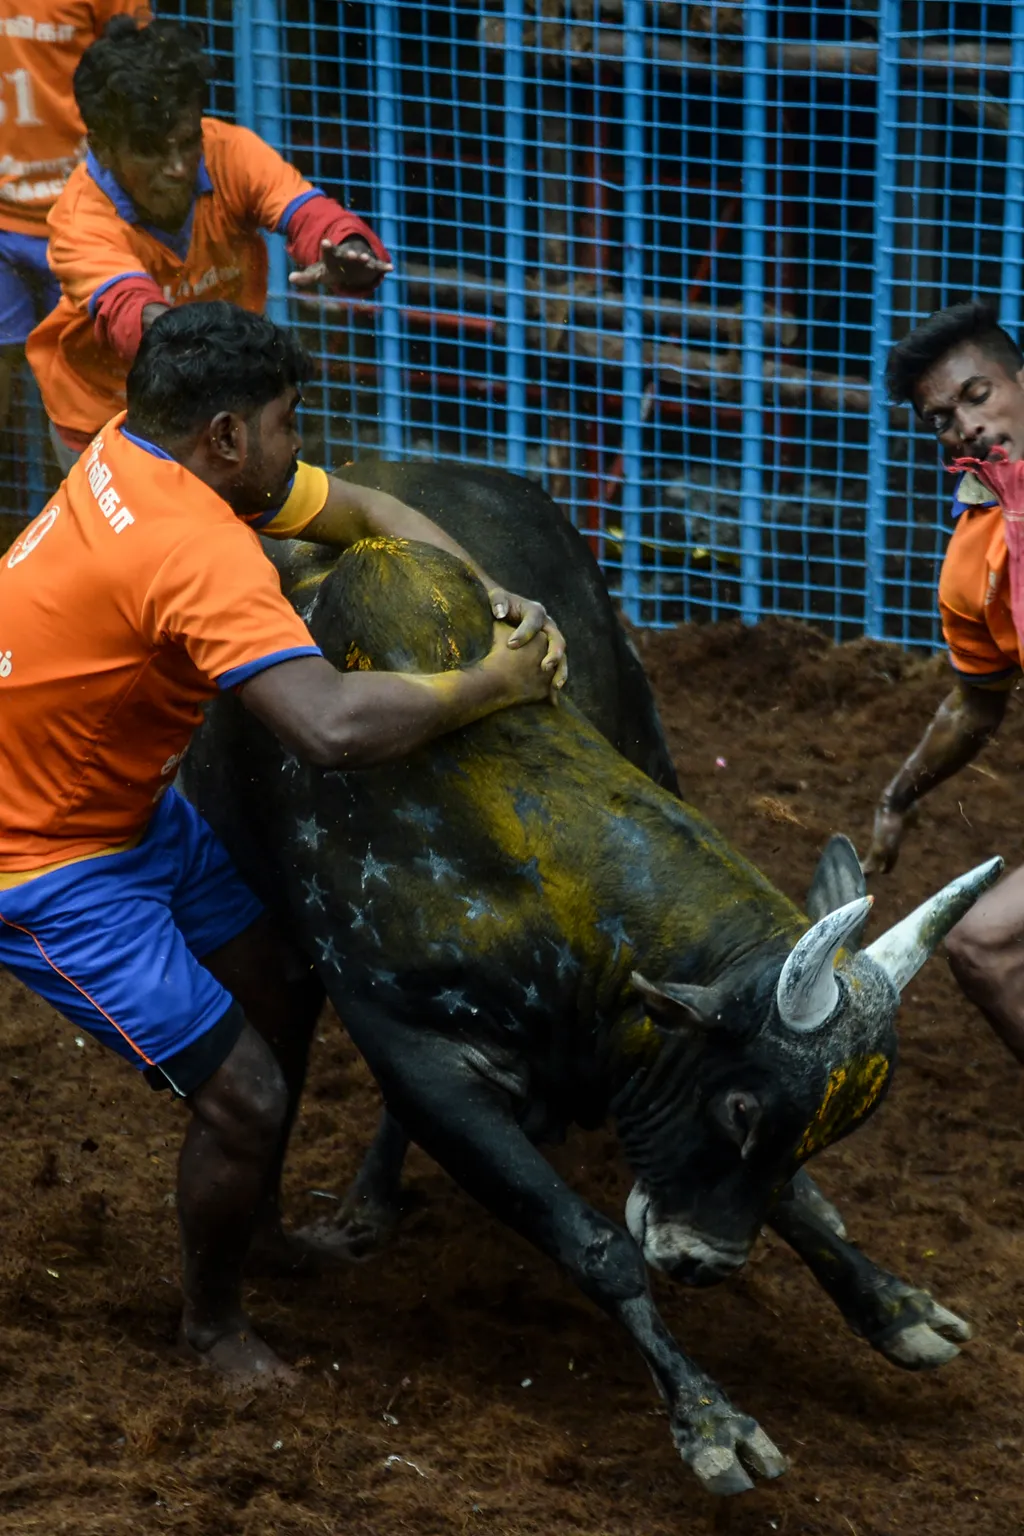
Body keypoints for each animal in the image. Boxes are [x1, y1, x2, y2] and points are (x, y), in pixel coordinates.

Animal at [181, 463, 994, 1499]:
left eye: (828, 1125)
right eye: (737, 1107)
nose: (704, 1264)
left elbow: (780, 1201)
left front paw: (890, 1302)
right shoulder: (422, 1056)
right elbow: (597, 1245)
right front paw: (713, 1423)